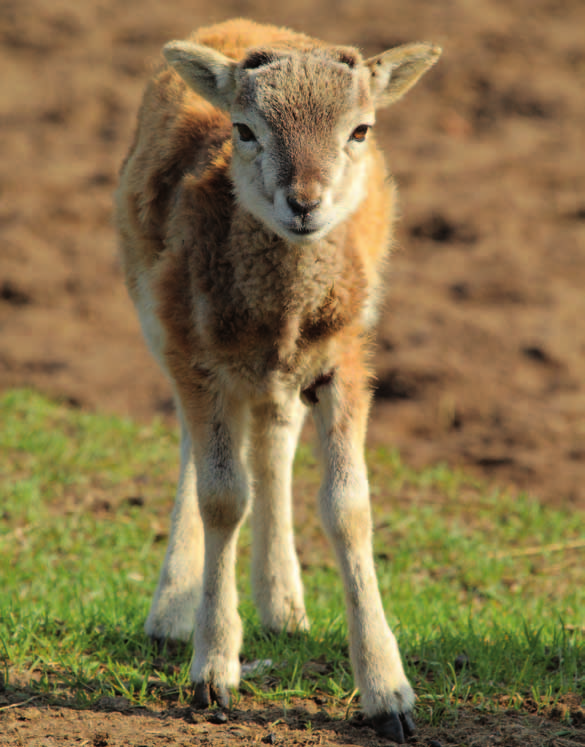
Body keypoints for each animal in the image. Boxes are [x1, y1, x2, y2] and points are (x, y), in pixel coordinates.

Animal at [115, 20, 438, 744]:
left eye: (360, 130)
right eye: (244, 129)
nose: (304, 203)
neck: (282, 304)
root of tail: (242, 27)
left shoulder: (347, 360)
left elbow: (348, 508)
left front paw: (388, 693)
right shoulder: (196, 353)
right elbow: (220, 498)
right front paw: (213, 672)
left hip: (283, 371)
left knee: (273, 438)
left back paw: (284, 603)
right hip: (163, 324)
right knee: (200, 451)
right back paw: (172, 610)